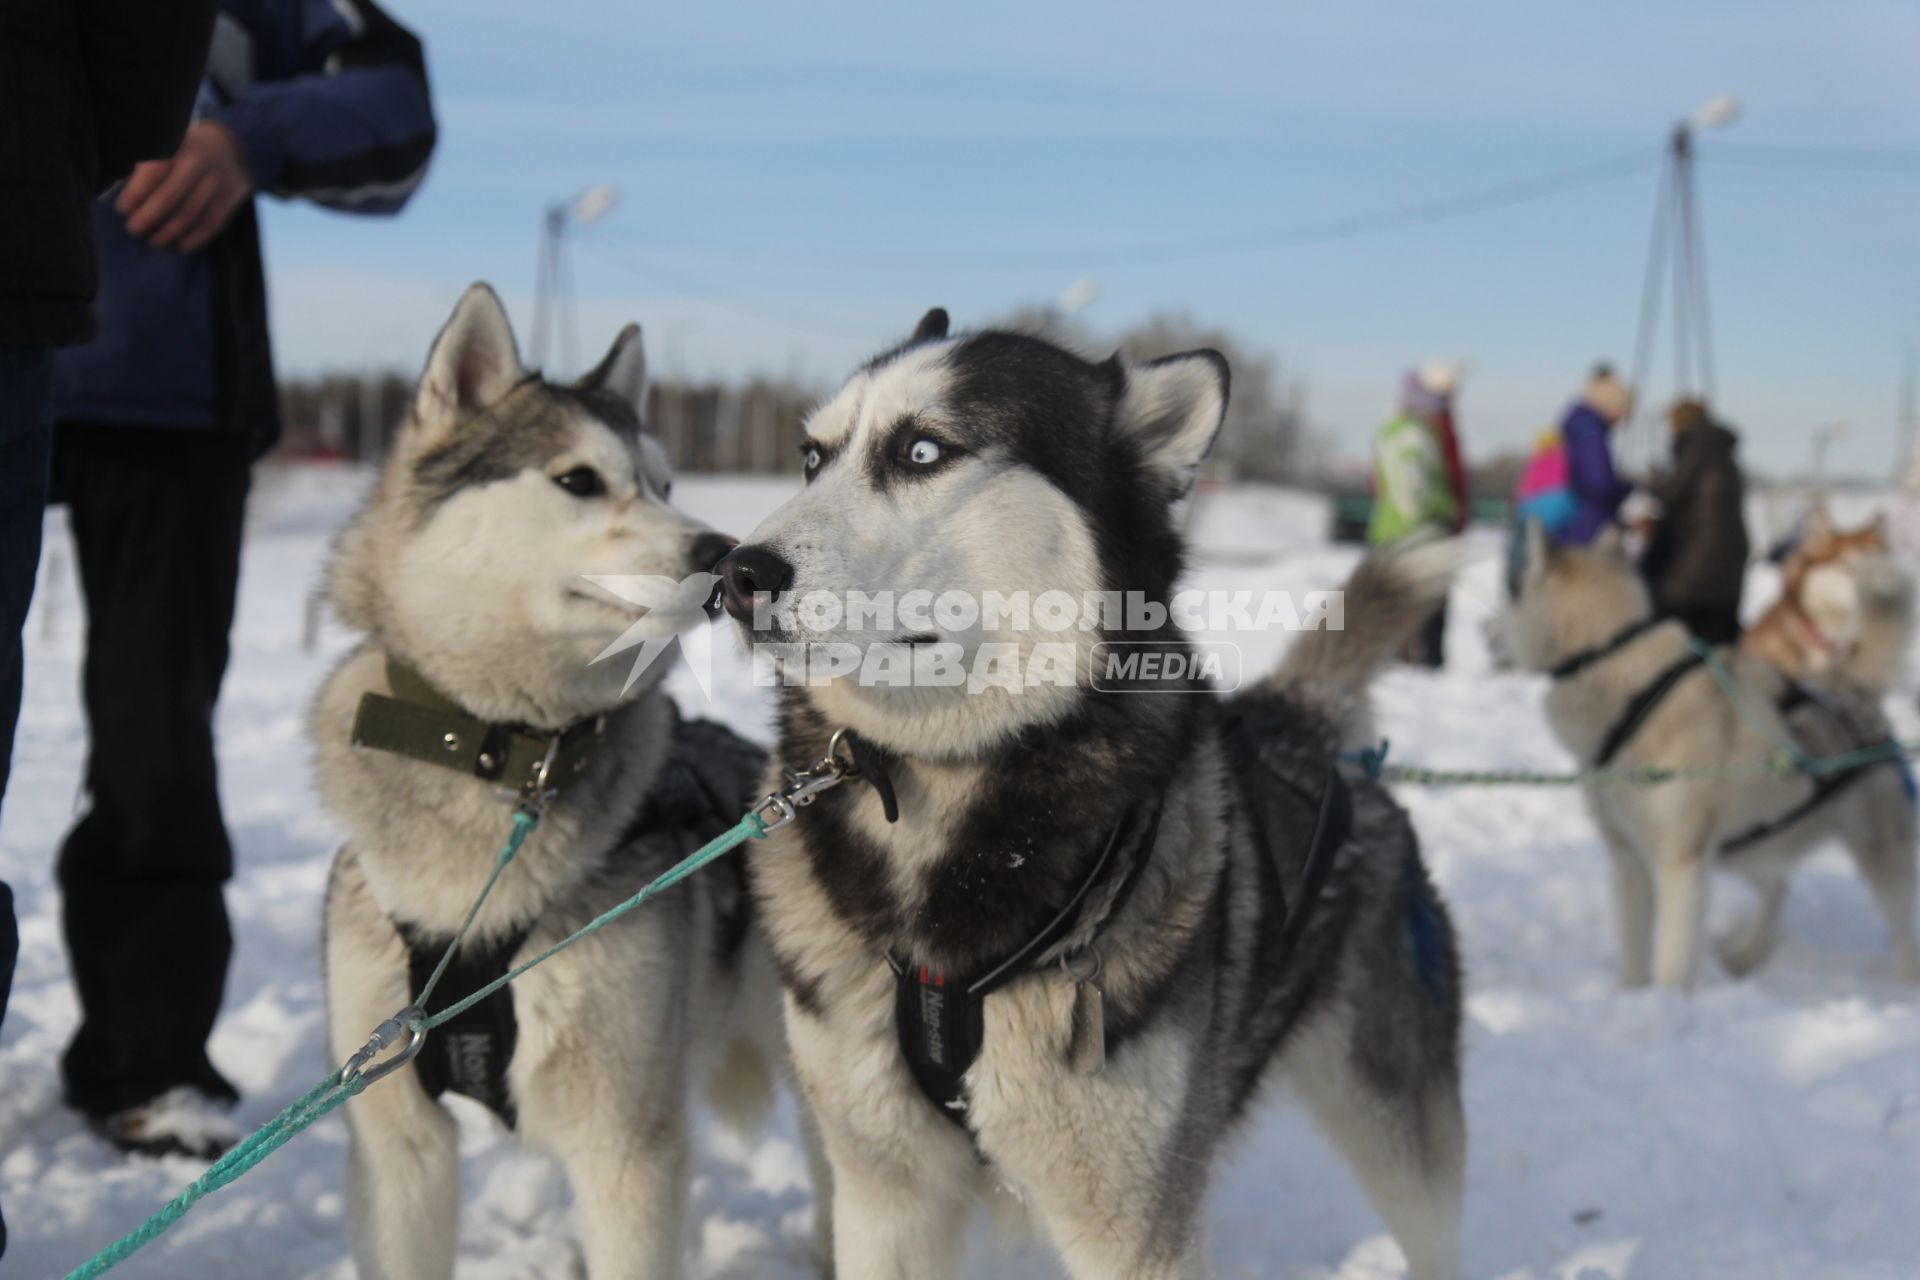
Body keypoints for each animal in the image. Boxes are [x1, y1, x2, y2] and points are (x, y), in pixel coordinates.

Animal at [316, 285, 794, 1274]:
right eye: (579, 480)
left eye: (665, 483)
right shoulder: (395, 1144)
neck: (510, 751)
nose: (725, 554)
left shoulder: (626, 1150)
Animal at [714, 312, 1459, 1280]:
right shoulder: (884, 1197)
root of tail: (1307, 721)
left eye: (922, 450)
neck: (950, 791)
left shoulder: (1133, 1229)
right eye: (811, 457)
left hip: (1403, 1143)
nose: (735, 575)